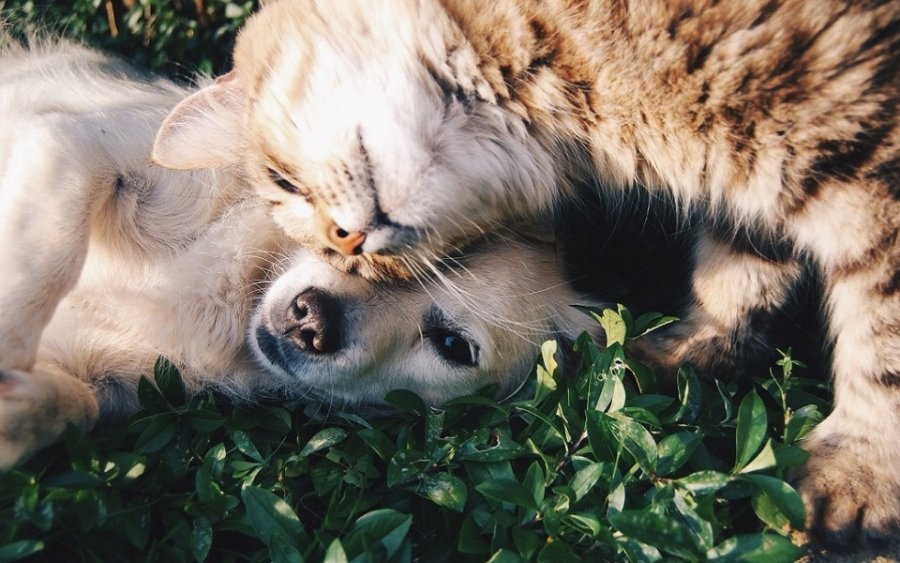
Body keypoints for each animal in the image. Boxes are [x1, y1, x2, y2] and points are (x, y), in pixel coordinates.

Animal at [153, 0, 900, 548]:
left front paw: (860, 475)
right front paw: (691, 352)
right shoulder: (752, 187)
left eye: (282, 181)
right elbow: (740, 270)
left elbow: (882, 338)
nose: (349, 243)